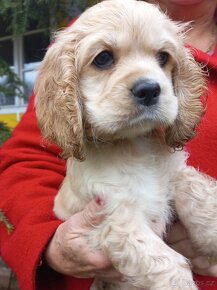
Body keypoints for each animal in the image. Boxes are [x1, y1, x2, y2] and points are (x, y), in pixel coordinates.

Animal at [34, 0, 217, 290]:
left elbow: (201, 197)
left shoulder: (175, 172)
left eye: (163, 57)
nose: (150, 90)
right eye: (103, 58)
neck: (132, 145)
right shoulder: (113, 219)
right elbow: (167, 263)